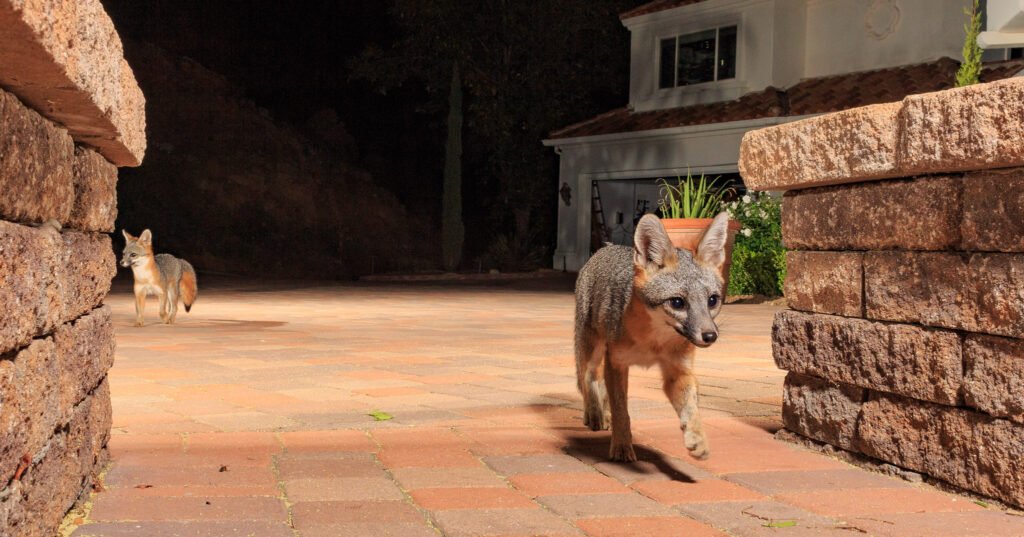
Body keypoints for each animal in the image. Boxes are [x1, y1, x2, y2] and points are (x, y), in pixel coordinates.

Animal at [574, 212, 730, 462]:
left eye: (712, 300)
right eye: (677, 302)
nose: (710, 336)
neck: (654, 343)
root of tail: (607, 247)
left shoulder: (678, 371)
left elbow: (692, 408)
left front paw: (697, 438)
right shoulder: (617, 363)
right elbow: (621, 411)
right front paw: (622, 445)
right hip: (592, 350)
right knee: (589, 379)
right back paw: (594, 414)